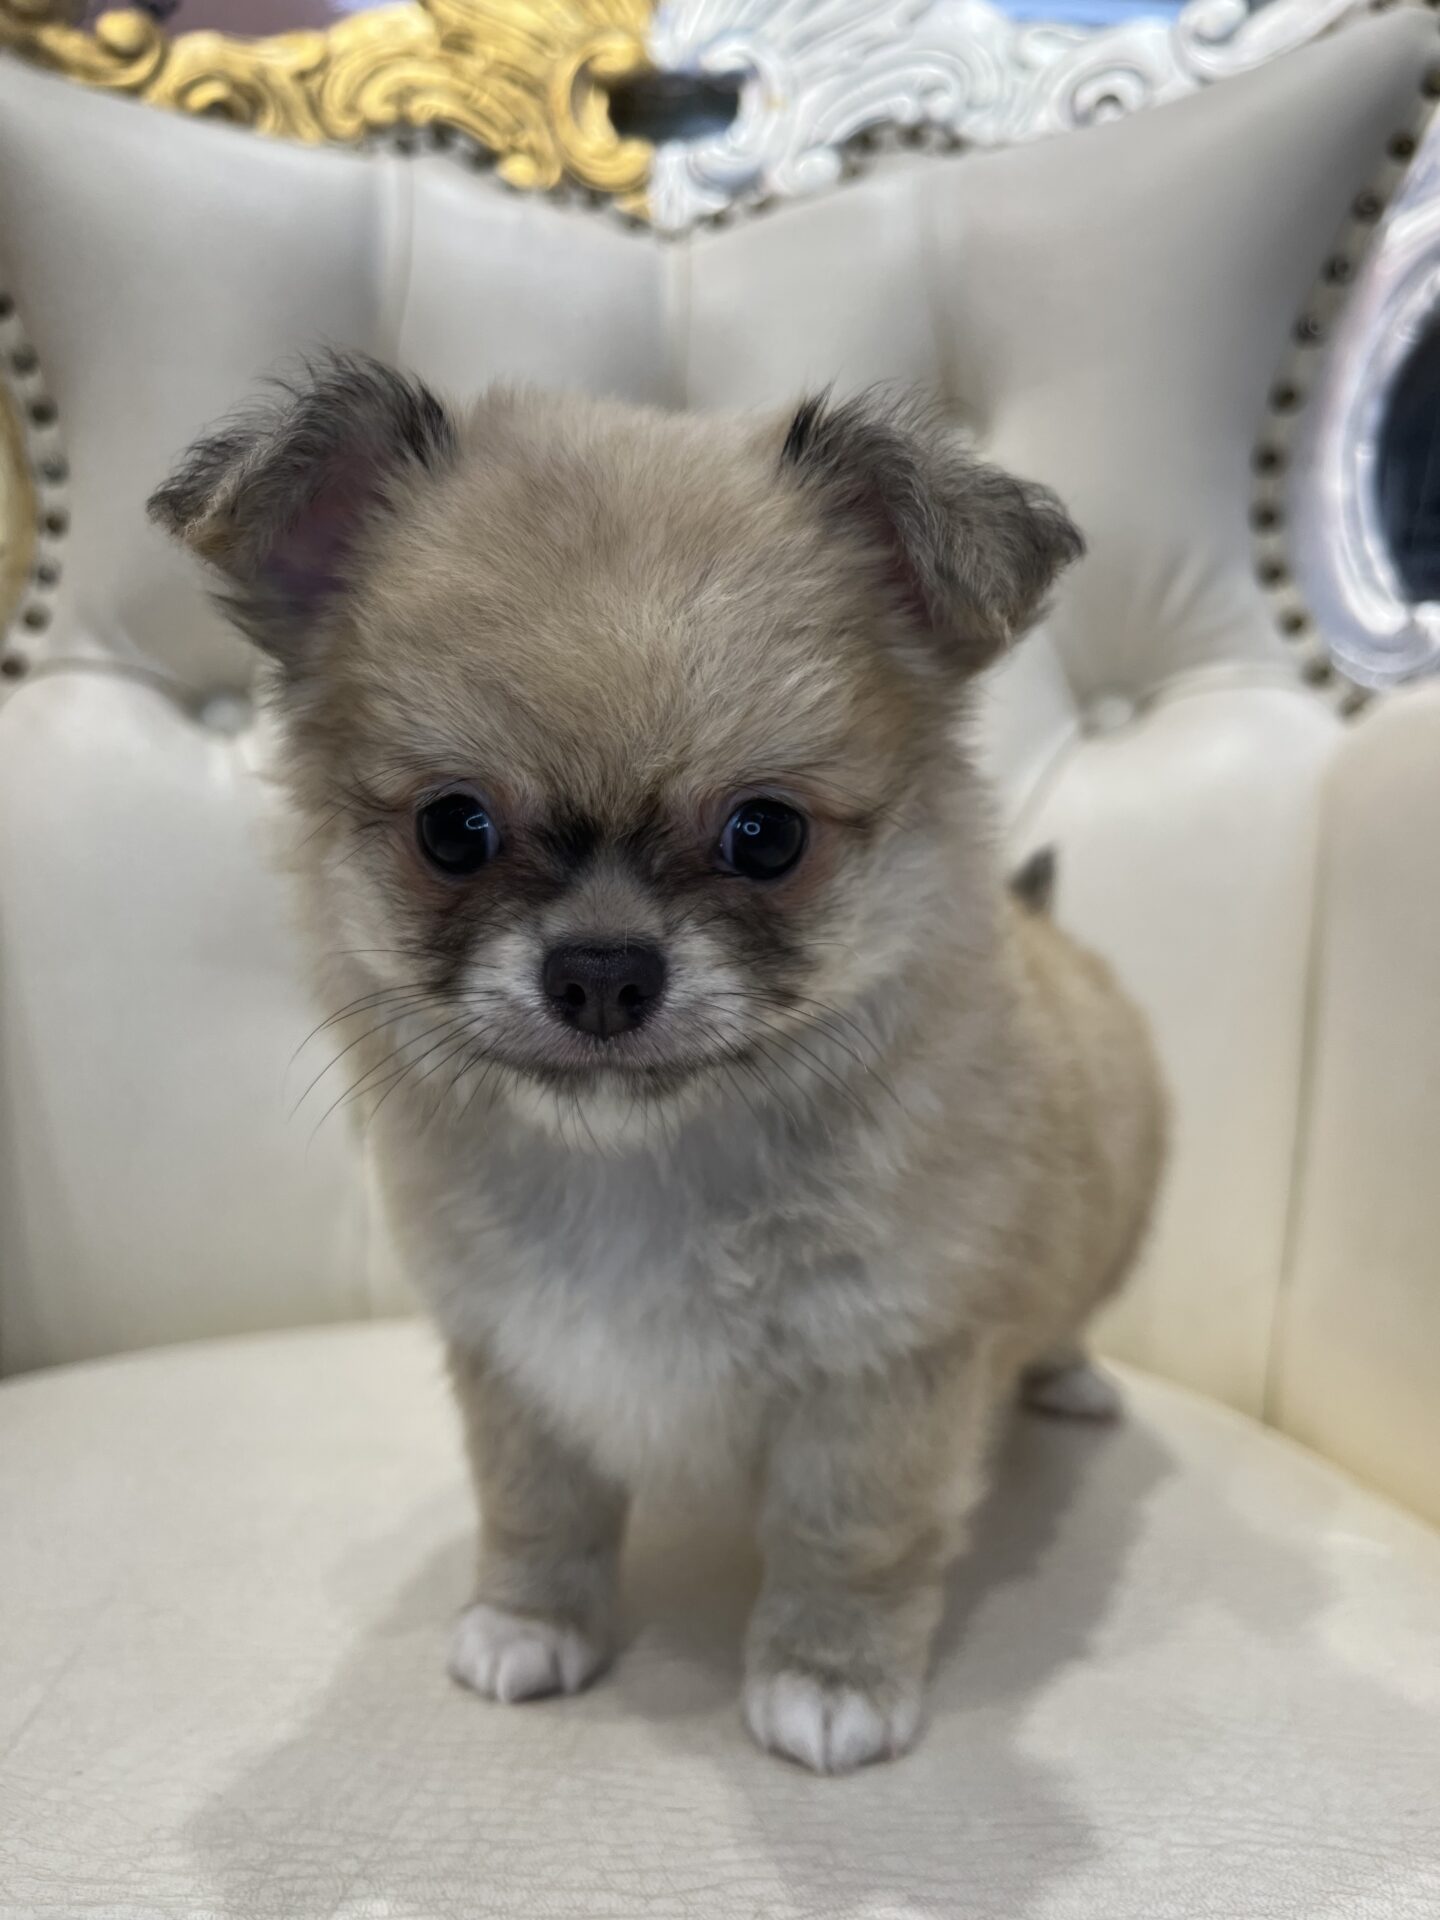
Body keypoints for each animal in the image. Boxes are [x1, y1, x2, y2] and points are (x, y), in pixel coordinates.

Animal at [150, 356, 1165, 1774]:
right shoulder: (517, 1362)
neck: (642, 1162)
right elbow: (537, 1509)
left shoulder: (879, 1380)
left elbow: (848, 1539)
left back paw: (1069, 1377)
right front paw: (531, 1622)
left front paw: (829, 1678)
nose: (601, 970)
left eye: (766, 834)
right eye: (453, 830)